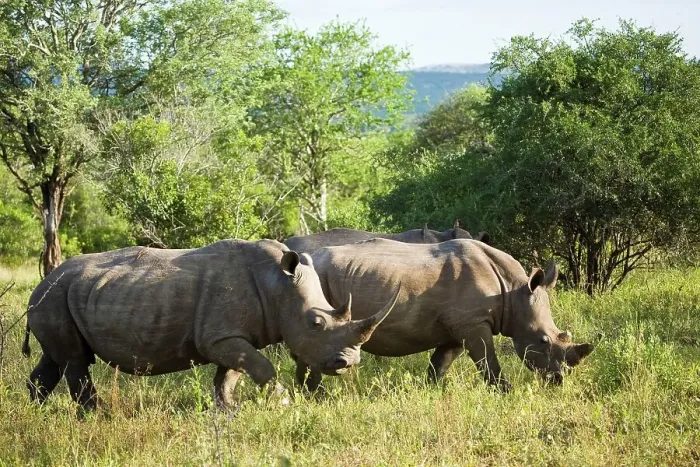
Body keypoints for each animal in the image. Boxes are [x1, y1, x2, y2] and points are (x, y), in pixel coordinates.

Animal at [21, 239, 398, 412]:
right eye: (316, 323)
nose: (348, 363)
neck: (277, 285)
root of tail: (42, 283)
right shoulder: (220, 337)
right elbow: (262, 367)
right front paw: (282, 404)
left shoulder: (230, 335)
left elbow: (229, 375)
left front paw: (228, 409)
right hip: (55, 297)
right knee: (75, 361)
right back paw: (99, 416)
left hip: (59, 297)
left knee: (55, 360)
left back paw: (36, 411)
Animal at [293, 239, 594, 392]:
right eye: (543, 341)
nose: (558, 381)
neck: (514, 292)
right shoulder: (472, 321)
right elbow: (488, 361)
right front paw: (505, 392)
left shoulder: (457, 326)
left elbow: (440, 364)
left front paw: (432, 392)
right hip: (317, 283)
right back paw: (316, 394)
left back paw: (307, 393)